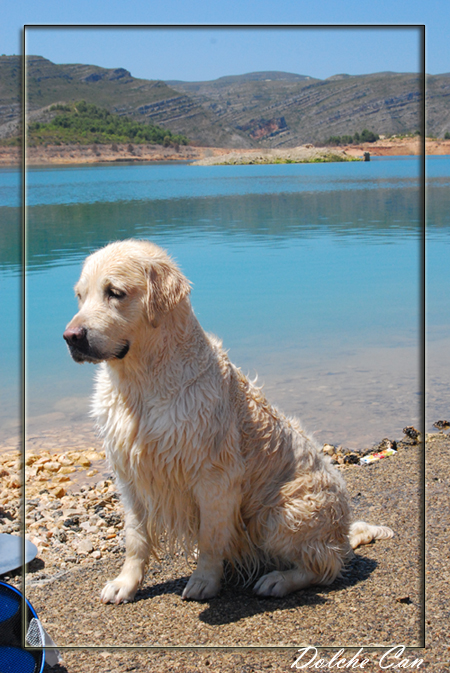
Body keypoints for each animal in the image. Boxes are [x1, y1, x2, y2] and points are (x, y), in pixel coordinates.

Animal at [63, 239, 393, 604]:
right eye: (80, 295)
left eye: (115, 293)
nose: (71, 336)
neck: (142, 384)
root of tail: (342, 534)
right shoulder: (130, 476)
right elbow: (136, 537)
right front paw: (126, 583)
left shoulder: (215, 478)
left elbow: (210, 538)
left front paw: (204, 581)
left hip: (278, 512)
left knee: (325, 566)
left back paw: (278, 580)